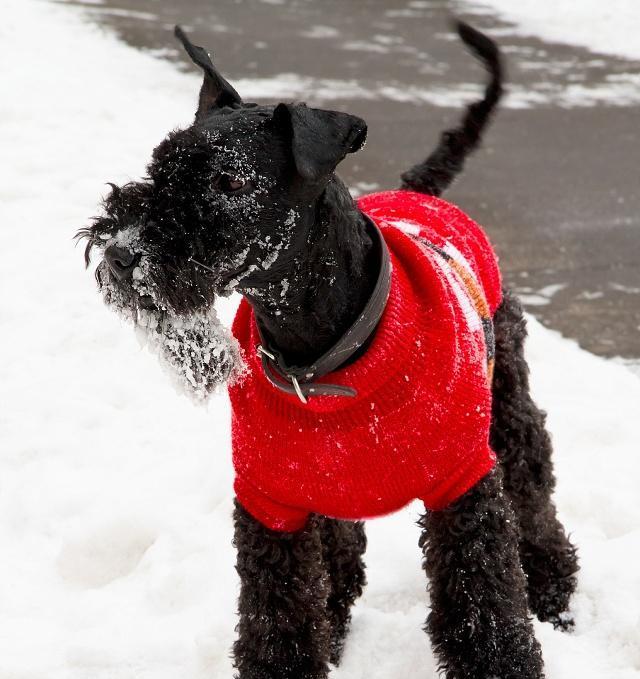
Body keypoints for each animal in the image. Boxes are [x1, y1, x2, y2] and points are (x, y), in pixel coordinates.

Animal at [80, 21, 580, 679]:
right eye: (158, 167)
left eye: (229, 181)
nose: (121, 253)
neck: (320, 356)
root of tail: (420, 192)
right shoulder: (272, 504)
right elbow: (281, 620)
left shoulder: (461, 484)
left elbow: (487, 611)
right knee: (340, 550)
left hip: (508, 411)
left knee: (534, 498)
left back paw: (552, 590)